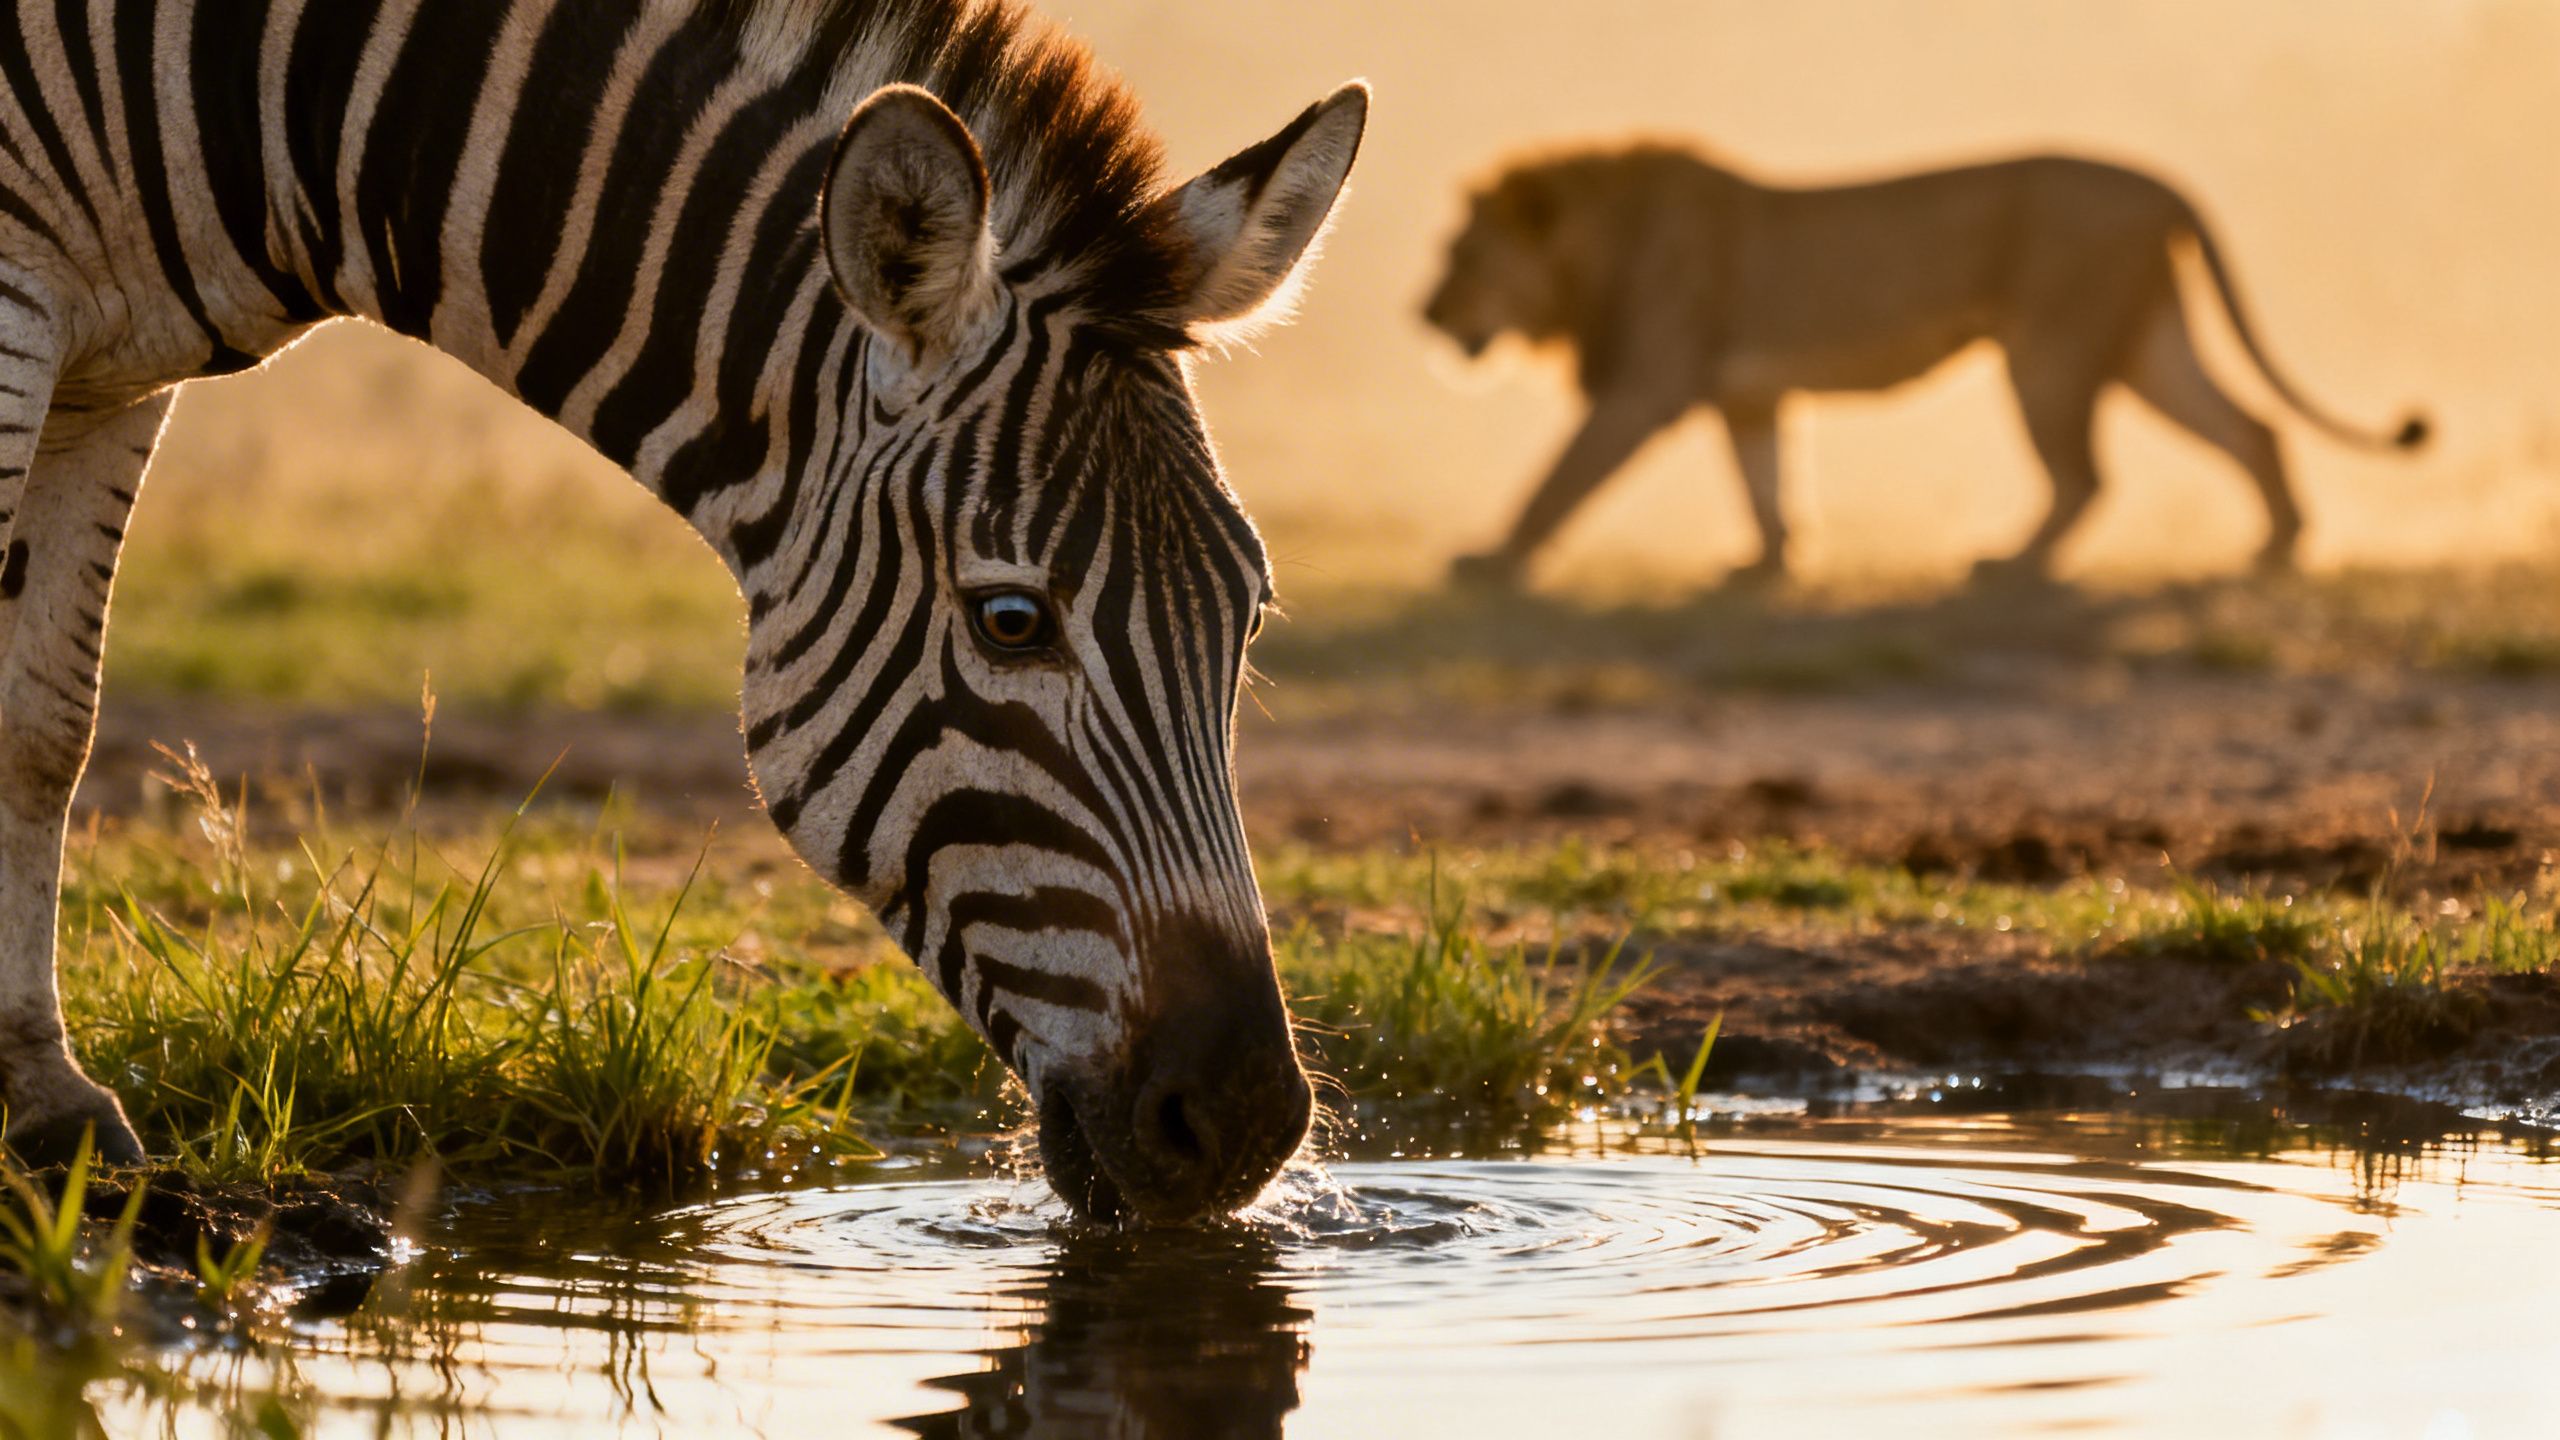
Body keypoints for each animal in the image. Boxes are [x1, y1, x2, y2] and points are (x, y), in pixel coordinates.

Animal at [0, 0, 1366, 1225]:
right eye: (1011, 621)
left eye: (1249, 617)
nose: (1244, 1124)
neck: (270, 89)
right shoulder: (21, 303)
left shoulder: (115, 381)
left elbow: (45, 725)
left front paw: (45, 1107)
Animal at [1422, 145, 2429, 586]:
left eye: (1464, 258)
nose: (1424, 314)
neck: (1588, 252)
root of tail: (2162, 184)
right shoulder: (1747, 397)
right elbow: (1764, 483)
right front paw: (1765, 565)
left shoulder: (1644, 389)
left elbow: (1558, 478)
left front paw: (1491, 559)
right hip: (2147, 346)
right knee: (2250, 428)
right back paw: (2279, 544)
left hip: (2050, 352)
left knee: (2085, 476)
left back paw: (2011, 564)